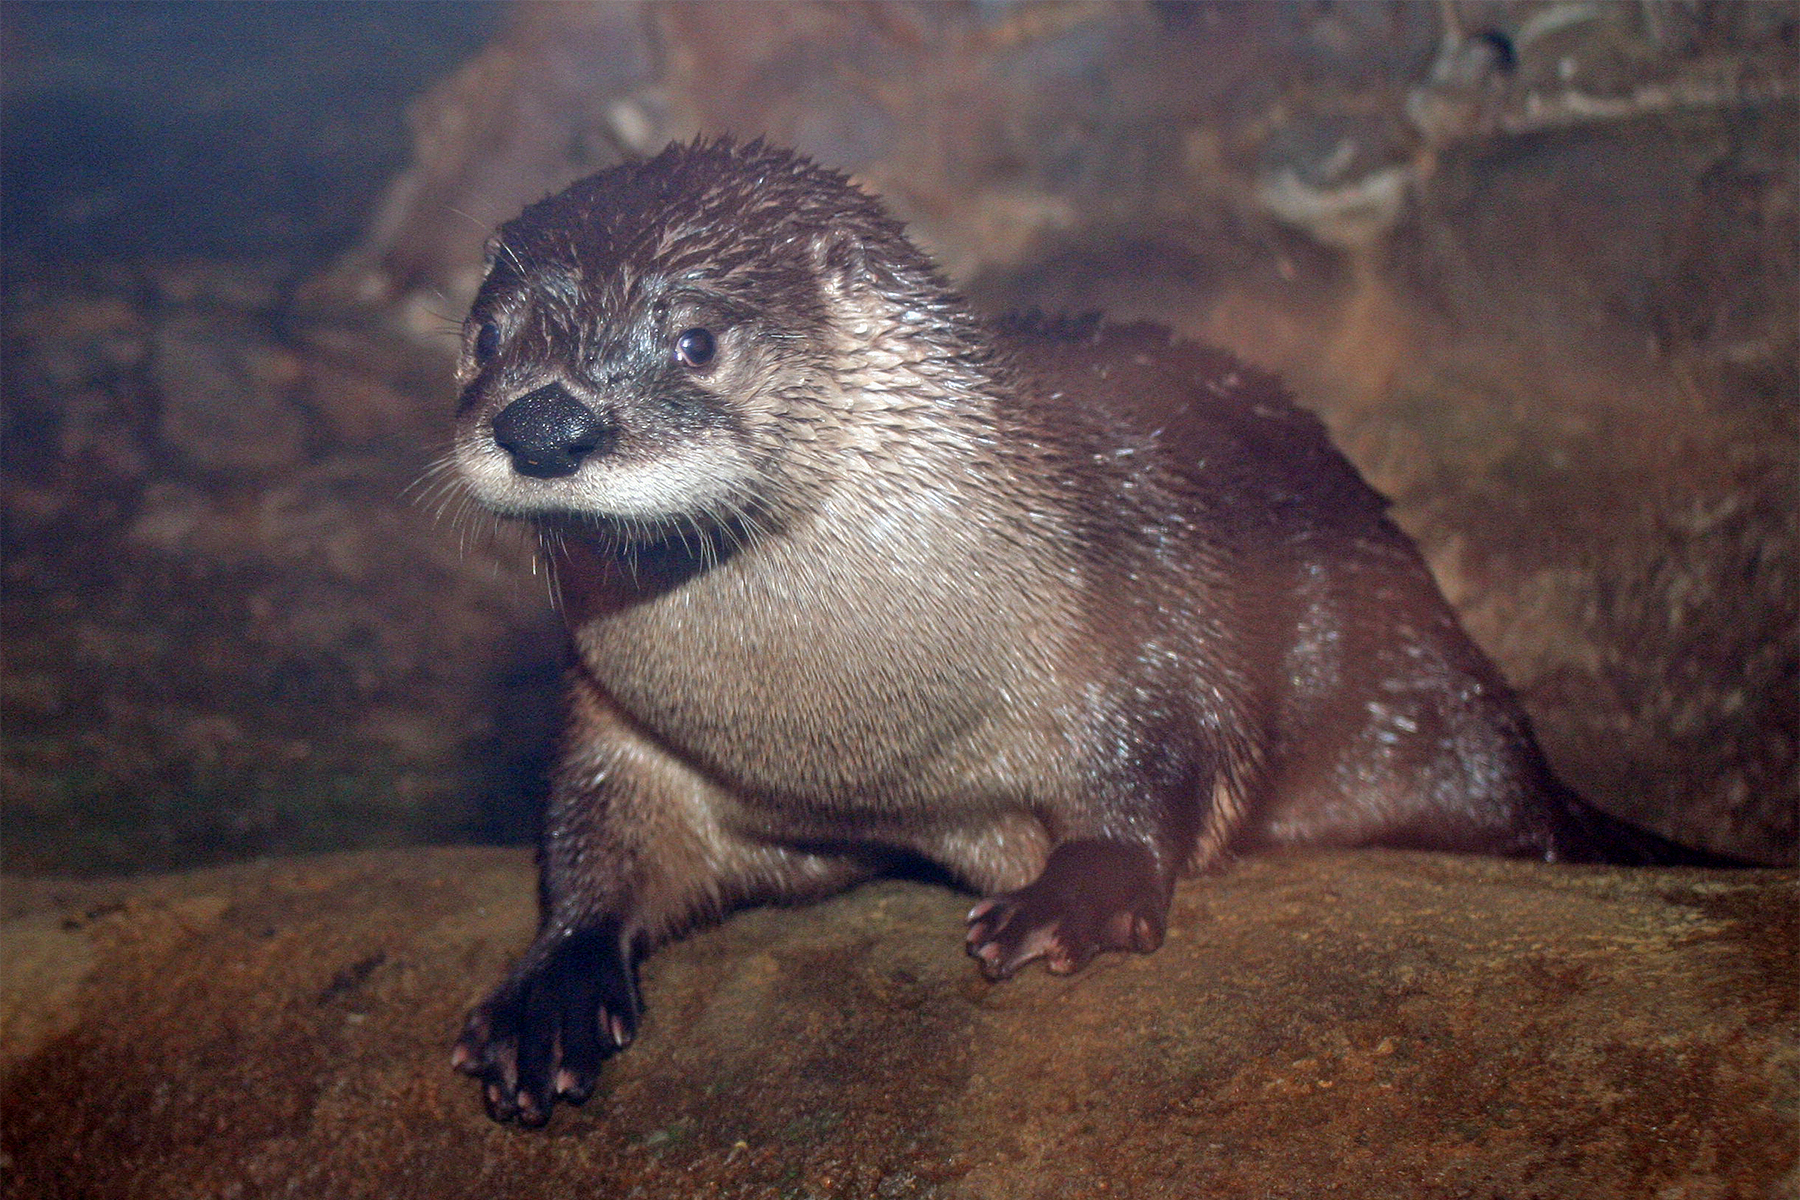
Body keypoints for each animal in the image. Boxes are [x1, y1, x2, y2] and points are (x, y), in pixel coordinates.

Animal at [447, 137, 1726, 1126]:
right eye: (484, 342)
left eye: (695, 342)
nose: (543, 423)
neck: (848, 730)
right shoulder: (627, 725)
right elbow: (591, 841)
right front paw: (550, 992)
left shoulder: (1139, 618)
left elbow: (1159, 765)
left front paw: (1074, 896)